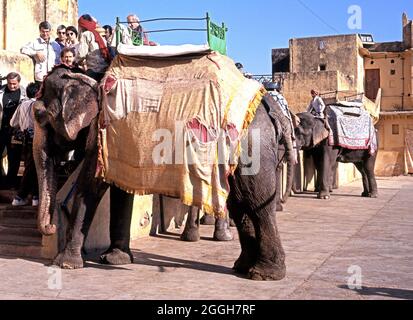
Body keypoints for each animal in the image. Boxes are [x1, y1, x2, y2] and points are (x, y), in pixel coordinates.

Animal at [33, 67, 292, 280]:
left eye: (39, 114)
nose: (51, 227)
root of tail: (270, 108)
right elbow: (119, 188)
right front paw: (115, 259)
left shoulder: (101, 130)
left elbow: (91, 184)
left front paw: (64, 264)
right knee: (239, 203)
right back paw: (242, 267)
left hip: (252, 145)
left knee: (256, 201)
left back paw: (264, 274)